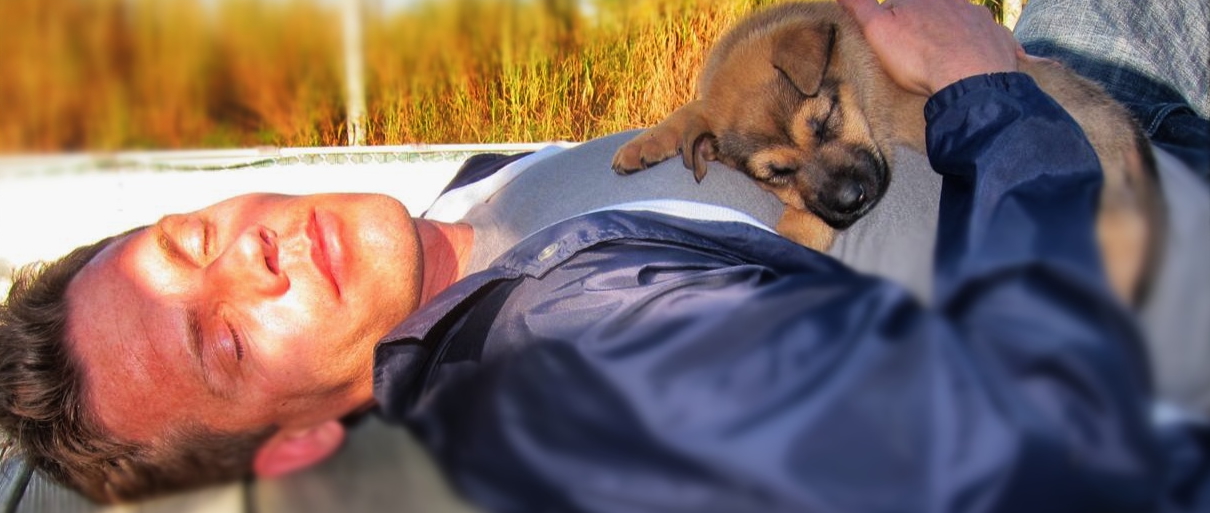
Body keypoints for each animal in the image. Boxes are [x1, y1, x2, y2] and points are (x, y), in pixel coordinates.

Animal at [611, 1, 1164, 305]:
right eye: (777, 172)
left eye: (824, 121)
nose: (852, 201)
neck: (850, 67)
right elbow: (692, 111)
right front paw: (645, 143)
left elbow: (802, 223)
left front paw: (787, 243)